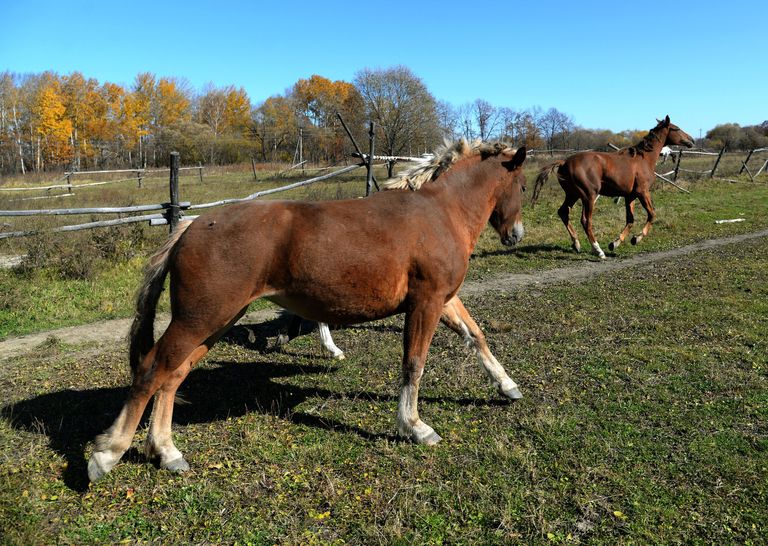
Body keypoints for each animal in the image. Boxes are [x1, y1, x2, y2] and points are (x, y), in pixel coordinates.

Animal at [88, 139, 528, 482]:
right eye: (522, 185)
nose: (516, 235)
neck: (439, 213)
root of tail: (190, 228)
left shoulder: (445, 299)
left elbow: (476, 336)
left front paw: (508, 387)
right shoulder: (427, 302)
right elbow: (414, 363)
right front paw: (414, 426)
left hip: (214, 321)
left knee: (173, 375)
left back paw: (167, 452)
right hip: (200, 318)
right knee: (151, 370)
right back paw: (107, 454)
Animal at [531, 116, 694, 258]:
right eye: (676, 128)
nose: (691, 140)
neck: (644, 159)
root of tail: (564, 162)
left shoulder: (630, 196)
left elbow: (630, 220)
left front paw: (615, 243)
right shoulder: (642, 192)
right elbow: (652, 214)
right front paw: (636, 239)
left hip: (573, 194)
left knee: (563, 212)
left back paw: (577, 244)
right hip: (588, 196)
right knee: (586, 221)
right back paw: (598, 251)